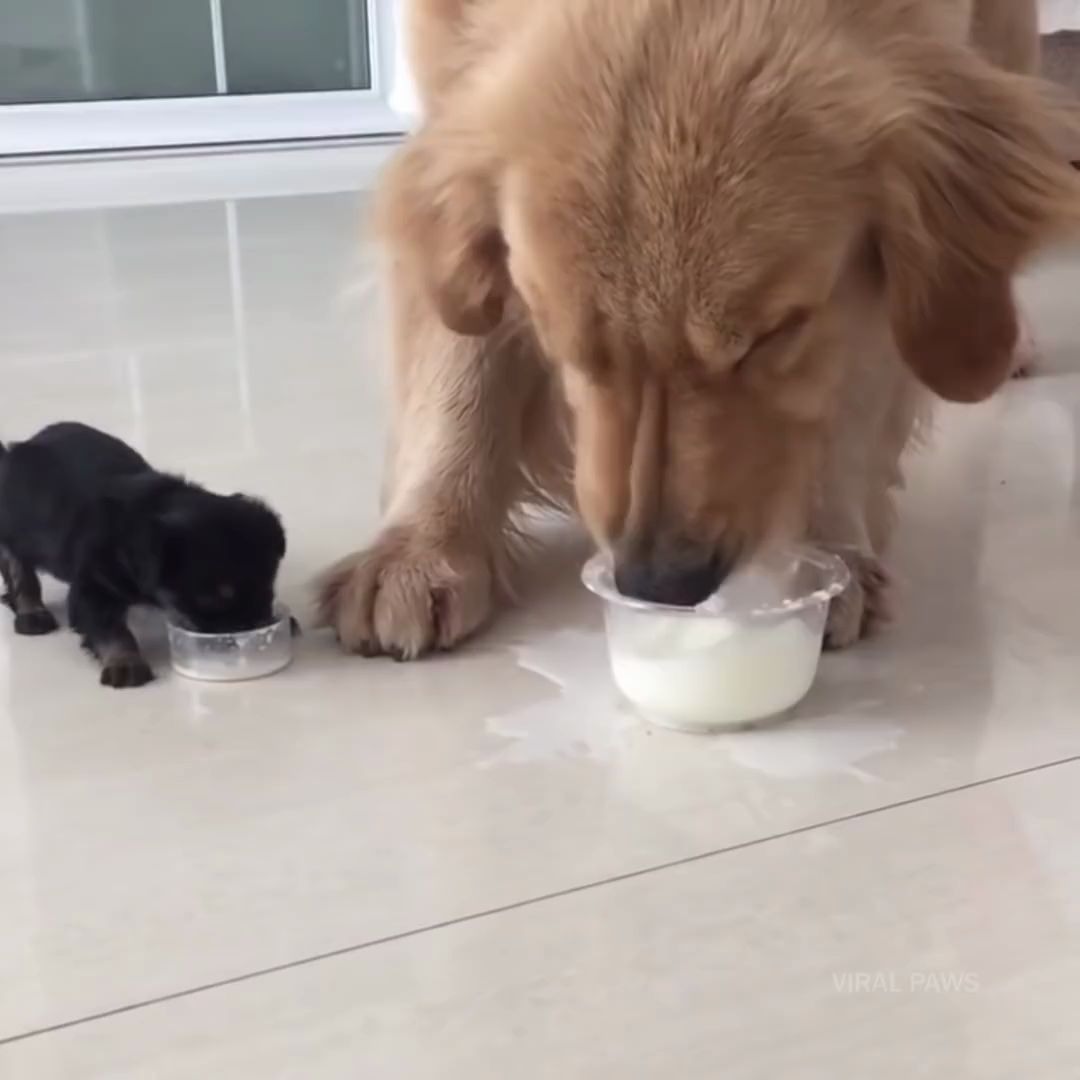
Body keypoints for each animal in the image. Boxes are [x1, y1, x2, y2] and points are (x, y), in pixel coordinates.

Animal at [0, 423, 286, 688]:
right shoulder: (93, 587)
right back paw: (31, 613)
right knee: (18, 569)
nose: (257, 630)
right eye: (211, 600)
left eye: (268, 591)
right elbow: (112, 629)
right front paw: (125, 663)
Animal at [318, 0, 1079, 659]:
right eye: (564, 345)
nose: (658, 583)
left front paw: (827, 549)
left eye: (773, 336)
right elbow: (459, 364)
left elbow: (847, 398)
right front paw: (422, 548)